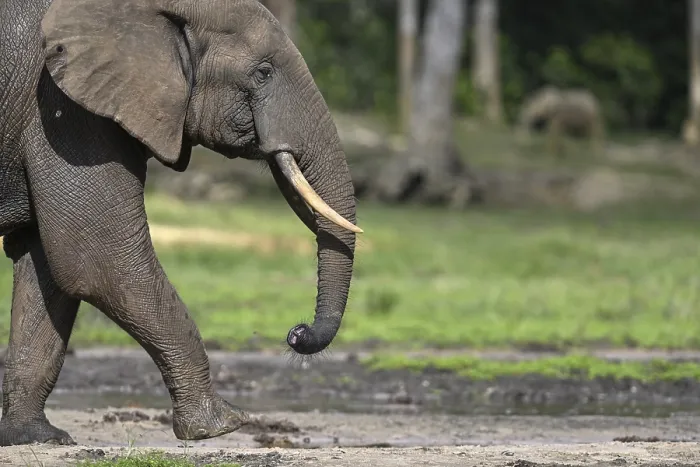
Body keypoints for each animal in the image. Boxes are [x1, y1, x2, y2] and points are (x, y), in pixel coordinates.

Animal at [0, 0, 362, 446]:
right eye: (263, 72)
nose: (297, 333)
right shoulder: (67, 115)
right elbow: (98, 260)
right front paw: (222, 424)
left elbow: (48, 266)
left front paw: (36, 437)